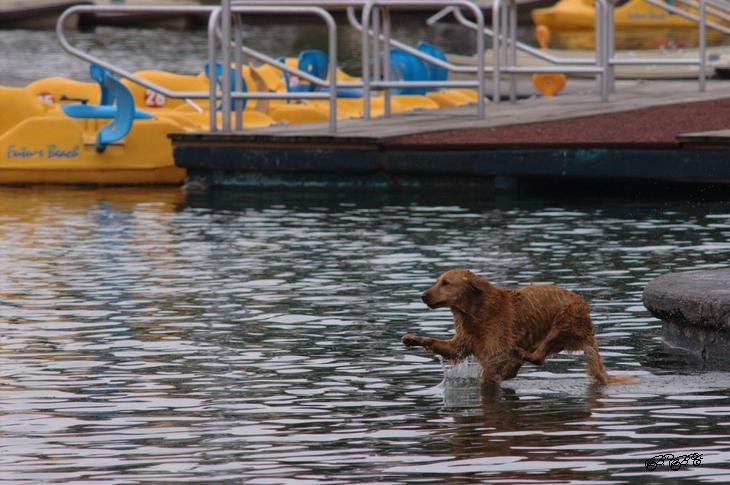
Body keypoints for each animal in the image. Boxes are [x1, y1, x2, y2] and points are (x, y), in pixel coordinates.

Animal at [400, 266, 636, 384]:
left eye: (446, 283)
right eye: (437, 281)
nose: (423, 295)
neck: (473, 313)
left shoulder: (495, 346)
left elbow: (491, 368)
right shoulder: (464, 341)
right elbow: (448, 346)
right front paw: (412, 338)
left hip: (565, 319)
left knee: (539, 355)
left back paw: (521, 354)